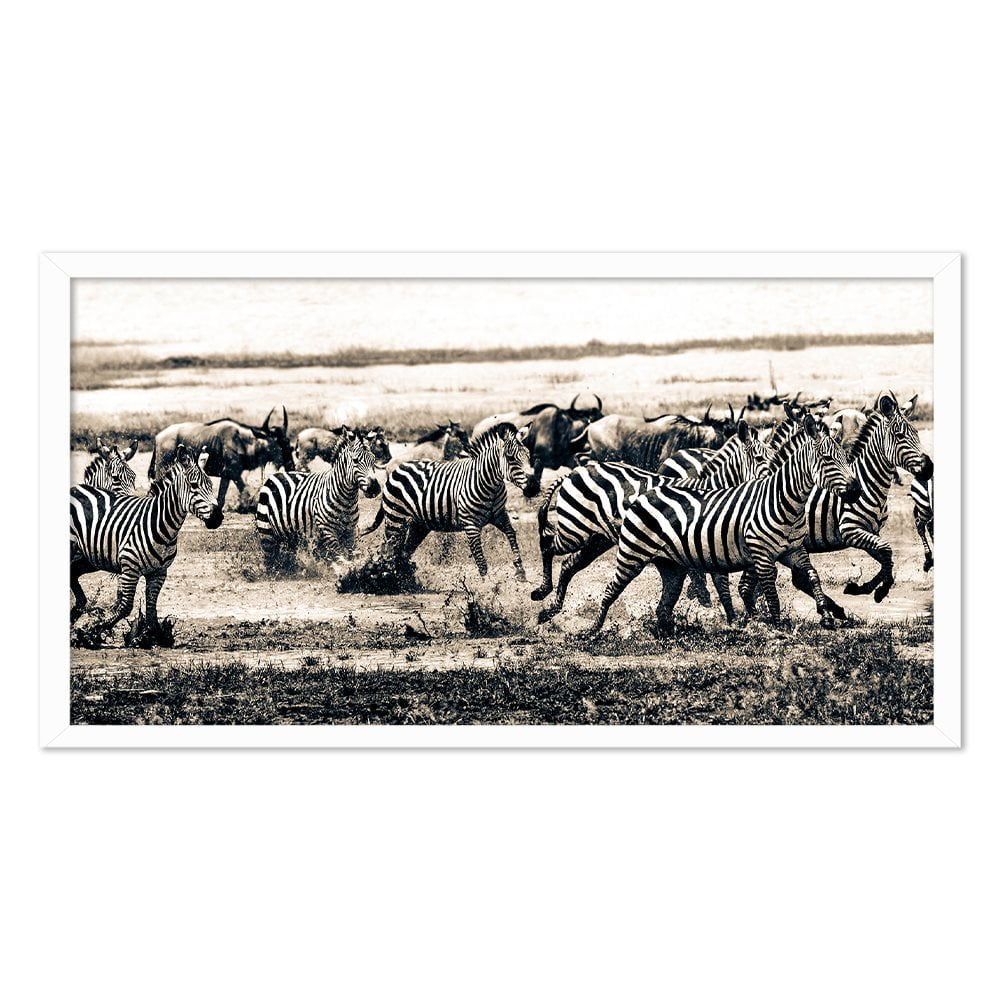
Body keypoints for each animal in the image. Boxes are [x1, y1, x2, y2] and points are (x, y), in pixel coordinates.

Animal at [70, 446, 223, 644]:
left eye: (211, 486)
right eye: (194, 485)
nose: (218, 517)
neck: (160, 524)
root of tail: (76, 487)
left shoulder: (159, 573)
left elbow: (151, 610)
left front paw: (154, 636)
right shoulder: (130, 569)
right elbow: (125, 607)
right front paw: (92, 631)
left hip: (90, 558)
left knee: (73, 575)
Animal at [255, 430, 381, 573]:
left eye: (373, 460)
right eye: (355, 460)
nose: (374, 487)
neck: (346, 500)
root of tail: (276, 475)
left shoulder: (350, 531)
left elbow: (351, 554)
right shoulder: (327, 530)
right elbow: (339, 555)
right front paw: (344, 571)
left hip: (291, 534)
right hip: (266, 532)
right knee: (270, 560)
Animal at [361, 422, 533, 580]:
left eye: (528, 456)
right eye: (511, 458)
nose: (534, 486)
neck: (489, 485)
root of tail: (395, 469)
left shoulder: (499, 515)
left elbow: (511, 534)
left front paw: (520, 571)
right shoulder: (470, 525)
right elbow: (480, 558)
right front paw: (487, 586)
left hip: (418, 525)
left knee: (403, 552)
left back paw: (403, 578)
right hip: (396, 519)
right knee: (387, 549)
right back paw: (383, 577)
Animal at [531, 421, 774, 623]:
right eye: (760, 459)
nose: (773, 482)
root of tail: (576, 471)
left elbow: (719, 586)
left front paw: (736, 619)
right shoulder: (706, 542)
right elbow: (719, 584)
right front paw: (737, 620)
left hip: (597, 539)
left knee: (568, 565)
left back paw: (550, 610)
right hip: (575, 529)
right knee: (548, 545)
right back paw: (542, 591)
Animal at [582, 415, 860, 637]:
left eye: (846, 458)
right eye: (827, 459)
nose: (856, 489)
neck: (786, 503)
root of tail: (642, 496)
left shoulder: (794, 550)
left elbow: (813, 576)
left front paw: (826, 616)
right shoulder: (760, 555)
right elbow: (769, 592)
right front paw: (776, 626)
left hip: (671, 566)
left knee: (665, 602)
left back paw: (668, 632)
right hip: (632, 555)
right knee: (611, 588)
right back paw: (593, 630)